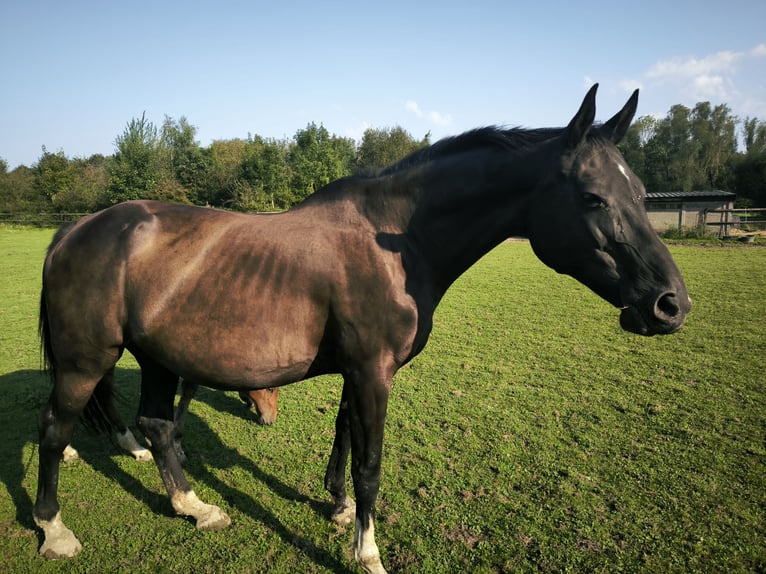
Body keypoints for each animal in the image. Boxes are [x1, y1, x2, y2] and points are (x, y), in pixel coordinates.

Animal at [34, 86, 688, 574]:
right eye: (594, 197)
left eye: (640, 194)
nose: (669, 305)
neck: (396, 241)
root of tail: (76, 230)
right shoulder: (374, 372)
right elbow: (370, 463)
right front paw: (367, 552)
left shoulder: (360, 371)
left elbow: (345, 440)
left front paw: (340, 507)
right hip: (86, 361)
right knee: (54, 430)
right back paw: (54, 531)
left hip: (157, 359)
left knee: (156, 426)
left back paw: (196, 508)